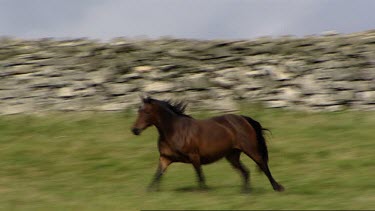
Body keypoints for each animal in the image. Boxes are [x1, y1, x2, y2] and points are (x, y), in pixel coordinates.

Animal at [131, 96, 284, 192]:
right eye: (138, 111)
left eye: (147, 111)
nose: (135, 130)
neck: (174, 131)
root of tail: (243, 119)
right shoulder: (165, 158)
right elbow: (157, 175)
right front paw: (149, 191)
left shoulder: (194, 156)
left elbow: (200, 176)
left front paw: (204, 192)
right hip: (232, 155)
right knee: (245, 172)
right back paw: (245, 192)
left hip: (250, 149)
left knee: (262, 164)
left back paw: (277, 187)